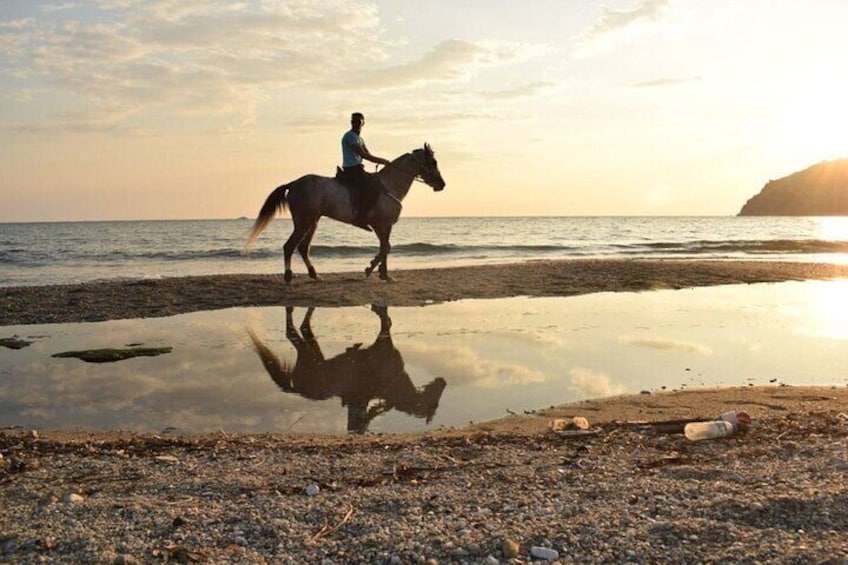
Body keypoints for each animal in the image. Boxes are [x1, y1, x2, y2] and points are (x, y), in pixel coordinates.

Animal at [243, 142, 444, 280]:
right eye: (433, 162)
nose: (442, 184)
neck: (390, 185)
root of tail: (293, 183)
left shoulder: (381, 226)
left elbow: (385, 247)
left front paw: (376, 271)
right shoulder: (383, 224)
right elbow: (385, 247)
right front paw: (378, 272)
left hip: (313, 221)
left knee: (302, 247)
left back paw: (314, 274)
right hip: (304, 221)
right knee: (289, 246)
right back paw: (289, 276)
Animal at [245, 304, 448, 432]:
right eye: (435, 403)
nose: (443, 381)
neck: (394, 382)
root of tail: (297, 388)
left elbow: (386, 320)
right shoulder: (384, 340)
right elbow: (386, 321)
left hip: (314, 354)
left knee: (304, 329)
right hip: (307, 355)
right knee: (291, 332)